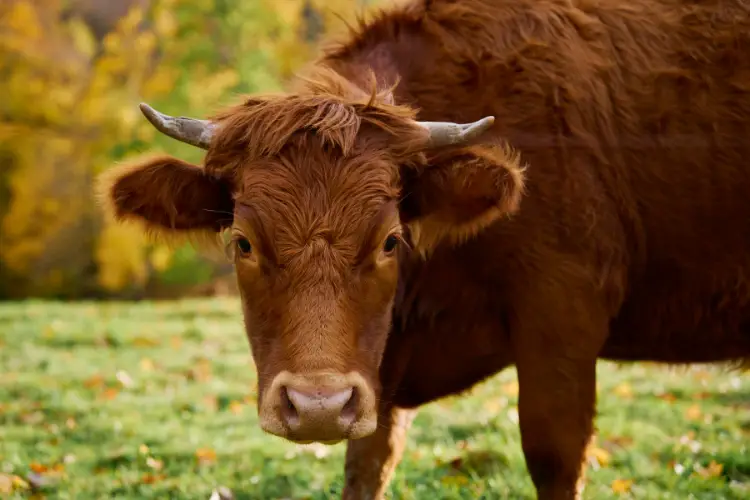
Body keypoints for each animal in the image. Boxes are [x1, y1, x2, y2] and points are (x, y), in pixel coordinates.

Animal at [97, 0, 750, 498]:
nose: (316, 405)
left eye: (391, 240)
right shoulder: (377, 375)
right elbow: (367, 466)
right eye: (243, 242)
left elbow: (553, 454)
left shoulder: (564, 318)